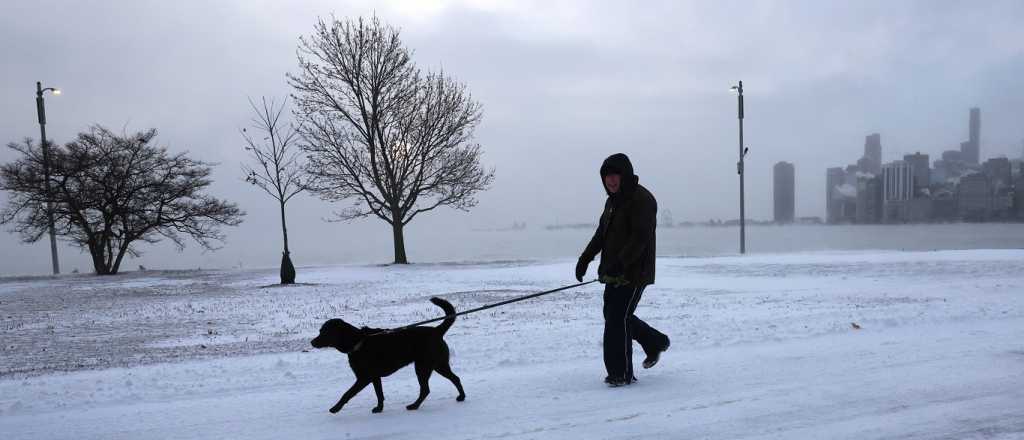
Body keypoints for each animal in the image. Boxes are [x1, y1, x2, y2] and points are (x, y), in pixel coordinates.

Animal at [311, 296, 468, 413]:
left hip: (423, 367)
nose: (312, 342)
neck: (357, 342)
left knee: (426, 389)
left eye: (324, 332)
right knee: (455, 378)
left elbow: (347, 393)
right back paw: (461, 397)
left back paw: (414, 406)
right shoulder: (375, 377)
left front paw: (335, 408)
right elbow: (379, 394)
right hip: (438, 365)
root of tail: (437, 331)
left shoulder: (364, 378)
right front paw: (379, 408)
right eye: (320, 331)